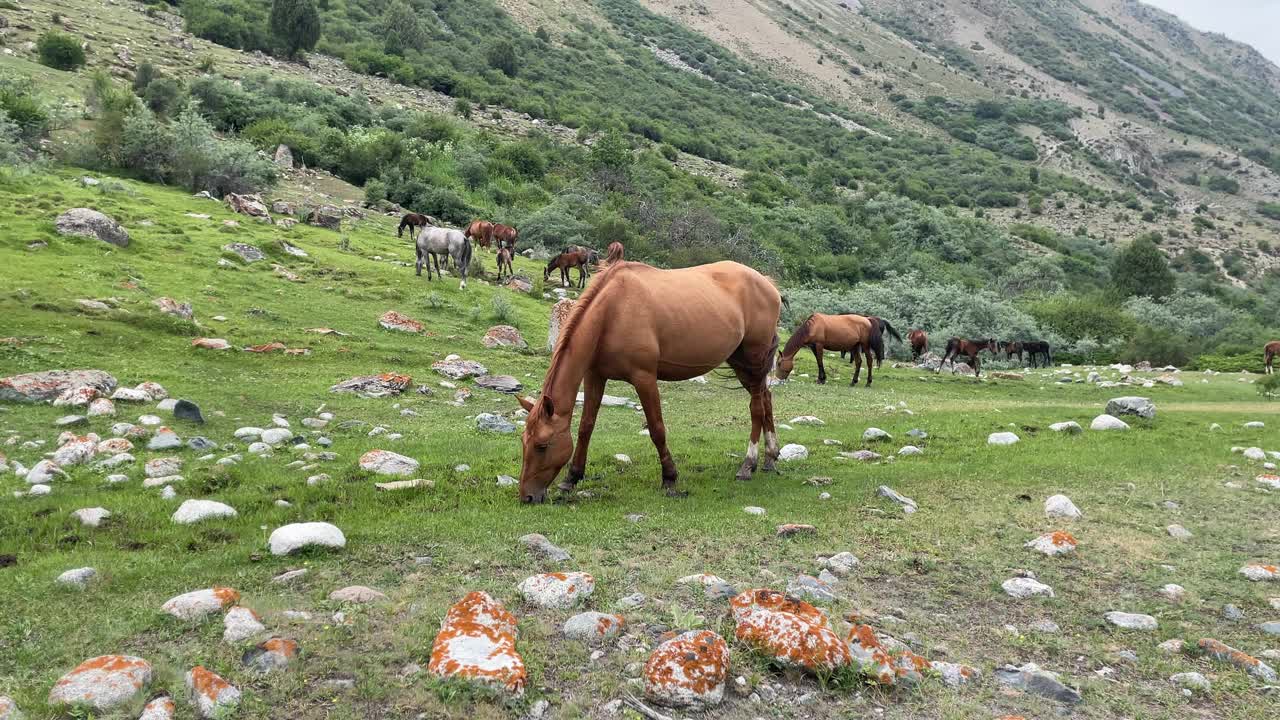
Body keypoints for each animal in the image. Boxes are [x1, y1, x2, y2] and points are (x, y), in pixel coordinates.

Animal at [512, 257, 778, 499]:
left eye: (542, 445)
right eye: (523, 441)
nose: (527, 496)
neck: (612, 312)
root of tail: (766, 282)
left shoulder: (645, 378)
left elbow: (657, 428)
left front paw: (670, 477)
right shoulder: (595, 376)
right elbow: (586, 427)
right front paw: (572, 477)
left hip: (754, 360)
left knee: (756, 407)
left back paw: (749, 464)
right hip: (740, 362)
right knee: (766, 399)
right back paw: (771, 457)